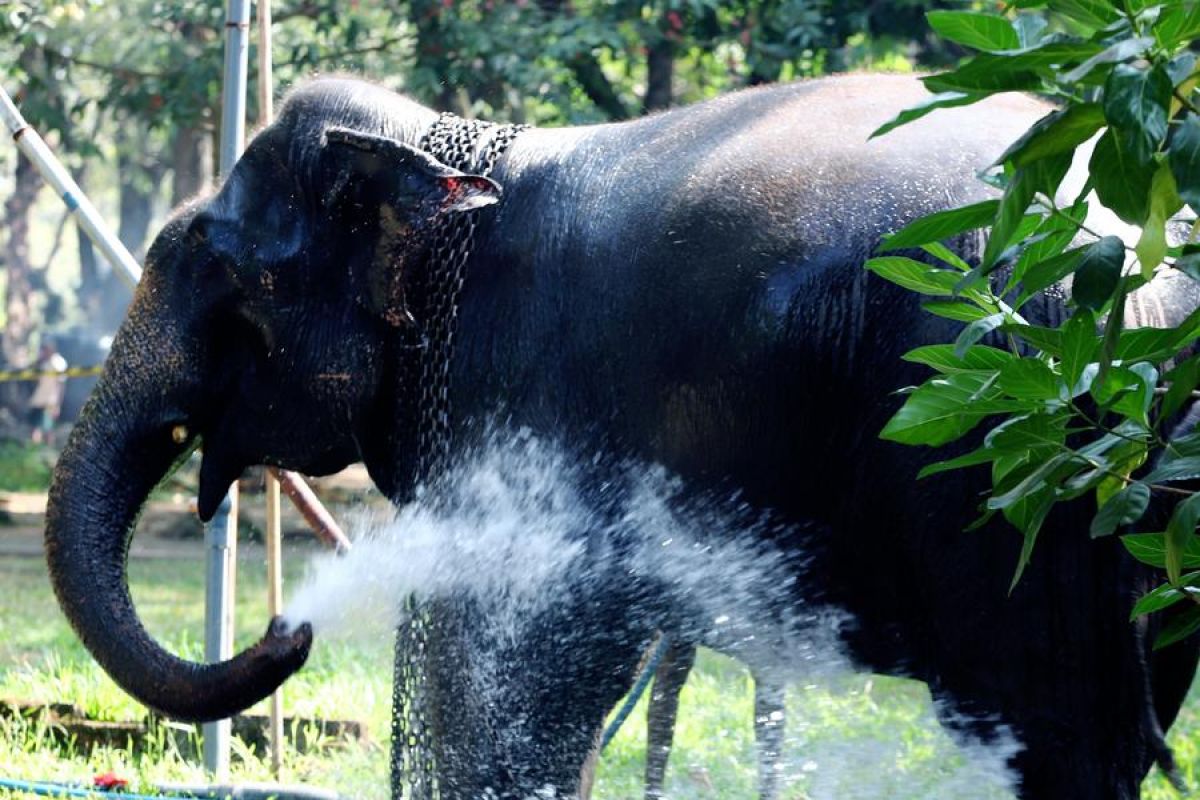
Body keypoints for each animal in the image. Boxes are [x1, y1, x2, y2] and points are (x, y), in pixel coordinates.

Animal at [42, 70, 1200, 800]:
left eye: (223, 281)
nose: (289, 628)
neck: (446, 142)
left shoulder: (523, 404)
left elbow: (515, 677)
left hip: (1010, 458)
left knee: (1050, 730)